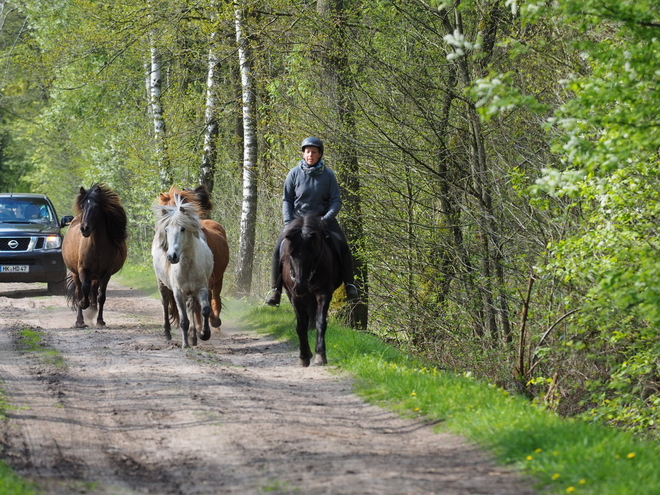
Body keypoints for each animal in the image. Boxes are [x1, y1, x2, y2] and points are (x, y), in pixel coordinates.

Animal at [63, 184, 127, 328]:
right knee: (79, 291)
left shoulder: (106, 273)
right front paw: (83, 304)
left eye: (96, 207)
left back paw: (91, 311)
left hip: (96, 276)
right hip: (76, 274)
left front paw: (100, 320)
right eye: (82, 206)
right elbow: (84, 290)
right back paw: (80, 321)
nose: (84, 229)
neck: (96, 246)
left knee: (93, 292)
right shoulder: (82, 270)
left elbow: (101, 296)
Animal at [151, 196, 213, 350]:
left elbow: (205, 310)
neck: (187, 266)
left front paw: (204, 334)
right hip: (162, 284)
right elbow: (184, 320)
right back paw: (168, 334)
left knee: (191, 307)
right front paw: (185, 344)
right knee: (165, 303)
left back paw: (194, 337)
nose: (171, 256)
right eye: (166, 230)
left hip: (190, 292)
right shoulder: (178, 292)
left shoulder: (201, 288)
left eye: (183, 229)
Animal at [157, 186, 229, 338]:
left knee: (215, 298)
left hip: (218, 278)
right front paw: (198, 327)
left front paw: (208, 324)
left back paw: (216, 324)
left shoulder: (206, 280)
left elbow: (205, 301)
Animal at [280, 215, 342, 366]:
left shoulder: (323, 294)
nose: (300, 287)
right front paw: (303, 356)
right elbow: (301, 326)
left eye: (312, 255)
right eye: (291, 255)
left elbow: (320, 322)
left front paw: (320, 355)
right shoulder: (295, 298)